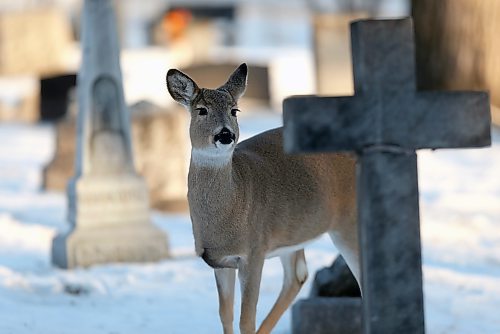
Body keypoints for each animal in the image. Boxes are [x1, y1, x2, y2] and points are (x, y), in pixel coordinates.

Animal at [167, 63, 360, 334]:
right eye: (201, 110)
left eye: (234, 110)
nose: (225, 134)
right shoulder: (221, 262)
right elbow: (225, 315)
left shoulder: (254, 251)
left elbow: (246, 320)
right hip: (293, 232)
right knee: (297, 275)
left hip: (347, 223)